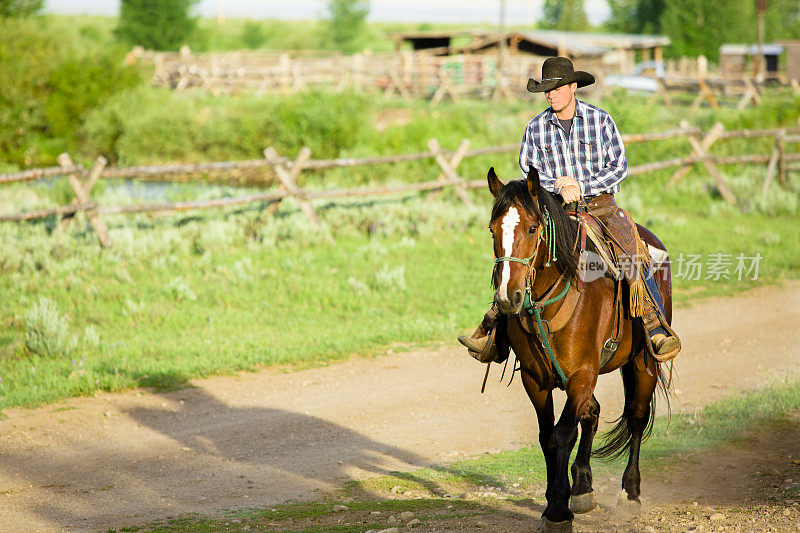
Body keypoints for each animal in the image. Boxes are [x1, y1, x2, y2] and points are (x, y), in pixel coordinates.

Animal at [484, 166, 672, 532]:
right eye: (492, 230)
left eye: (532, 228)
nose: (508, 297)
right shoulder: (535, 380)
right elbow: (547, 436)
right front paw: (556, 500)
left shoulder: (582, 375)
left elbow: (563, 434)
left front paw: (559, 510)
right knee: (593, 413)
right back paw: (583, 487)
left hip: (644, 361)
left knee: (637, 417)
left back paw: (630, 494)